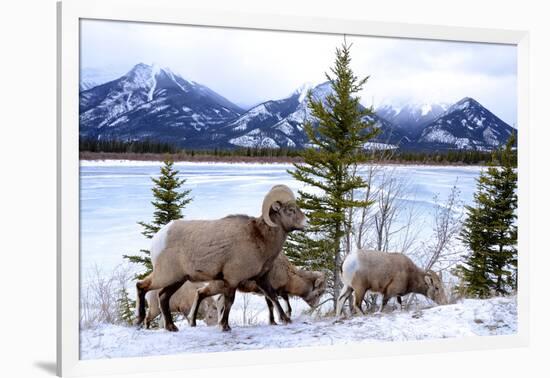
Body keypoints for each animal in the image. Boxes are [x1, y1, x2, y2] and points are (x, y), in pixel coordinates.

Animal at [134, 185, 306, 332]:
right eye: (291, 210)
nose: (306, 222)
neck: (259, 238)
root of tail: (159, 237)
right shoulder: (232, 279)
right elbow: (229, 302)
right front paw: (225, 326)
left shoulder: (261, 278)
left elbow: (273, 297)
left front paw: (286, 320)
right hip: (165, 276)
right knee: (141, 286)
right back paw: (139, 320)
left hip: (177, 279)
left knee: (163, 296)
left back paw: (172, 327)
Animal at [190, 252, 328, 326]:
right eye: (318, 293)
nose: (315, 306)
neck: (288, 274)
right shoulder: (269, 289)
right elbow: (274, 303)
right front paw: (280, 320)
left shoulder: (272, 292)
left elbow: (274, 305)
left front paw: (274, 321)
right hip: (218, 285)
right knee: (201, 293)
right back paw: (193, 322)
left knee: (212, 298)